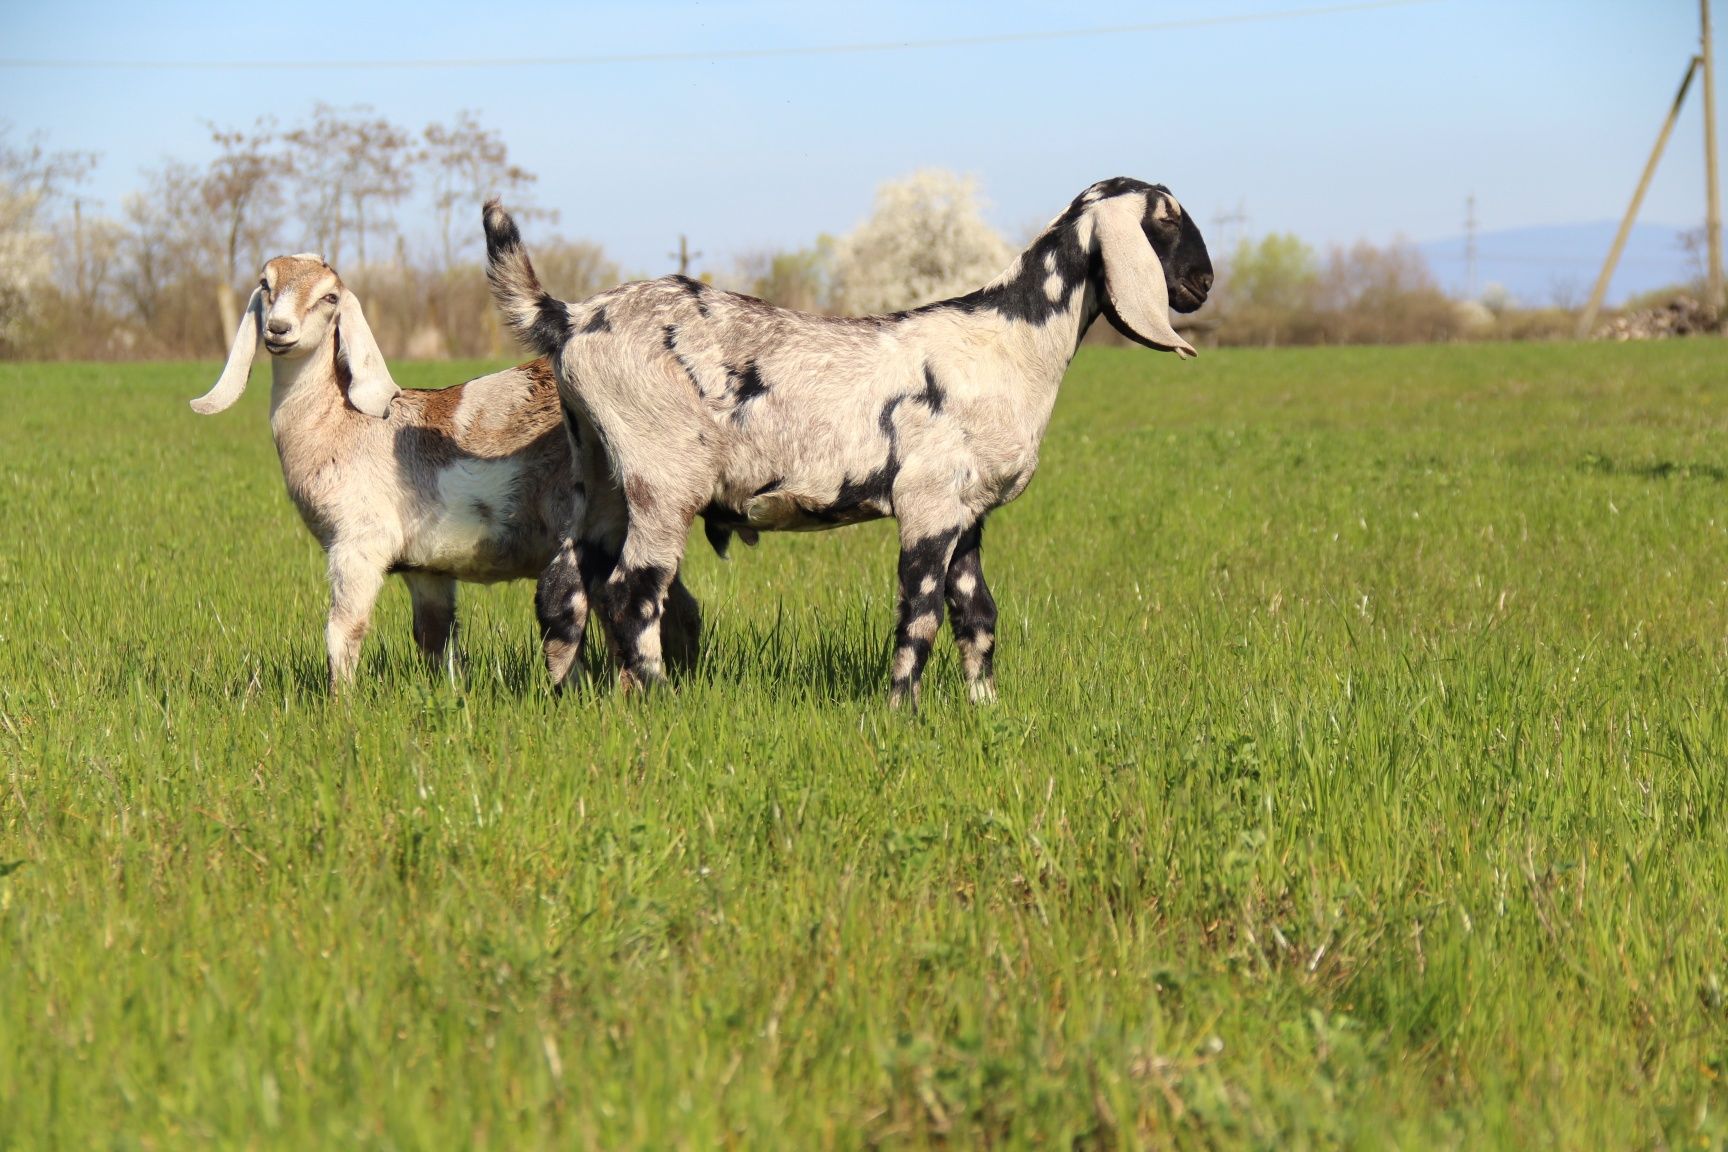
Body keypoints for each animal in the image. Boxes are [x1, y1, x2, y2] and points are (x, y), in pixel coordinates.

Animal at [487, 177, 1216, 704]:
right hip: (664, 479)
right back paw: (659, 700)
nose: (1204, 283)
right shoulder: (927, 502)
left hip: (599, 475)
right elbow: (920, 614)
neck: (1012, 336)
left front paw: (984, 708)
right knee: (631, 593)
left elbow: (978, 617)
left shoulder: (967, 512)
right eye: (1164, 219)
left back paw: (575, 696)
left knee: (566, 587)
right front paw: (901, 710)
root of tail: (572, 317)